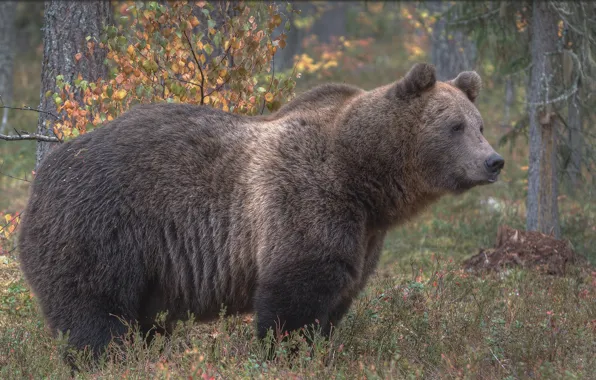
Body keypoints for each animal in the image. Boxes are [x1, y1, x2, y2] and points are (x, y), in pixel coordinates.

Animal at [17, 63, 502, 360]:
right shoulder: (303, 203)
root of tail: (39, 179)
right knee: (94, 315)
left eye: (479, 124)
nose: (494, 161)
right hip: (100, 230)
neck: (363, 178)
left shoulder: (364, 233)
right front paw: (287, 353)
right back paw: (105, 359)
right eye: (455, 126)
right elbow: (294, 299)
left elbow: (338, 297)